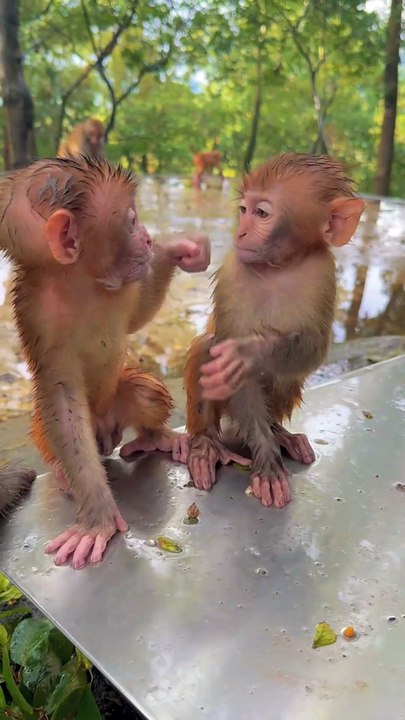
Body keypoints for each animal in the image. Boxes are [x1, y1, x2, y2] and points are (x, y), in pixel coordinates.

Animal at [0, 155, 210, 569]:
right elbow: (60, 395)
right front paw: (97, 517)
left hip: (118, 405)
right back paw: (63, 473)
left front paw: (177, 249)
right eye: (131, 220)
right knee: (54, 427)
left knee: (143, 392)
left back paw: (154, 437)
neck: (82, 284)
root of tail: (107, 431)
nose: (148, 238)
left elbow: (138, 315)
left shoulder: (124, 286)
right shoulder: (39, 317)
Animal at [184, 153, 366, 508]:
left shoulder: (322, 271)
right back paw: (207, 443)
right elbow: (229, 360)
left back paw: (279, 433)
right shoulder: (235, 270)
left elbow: (313, 346)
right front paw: (266, 461)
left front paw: (249, 352)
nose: (240, 233)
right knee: (207, 346)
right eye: (244, 210)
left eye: (261, 213)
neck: (279, 267)